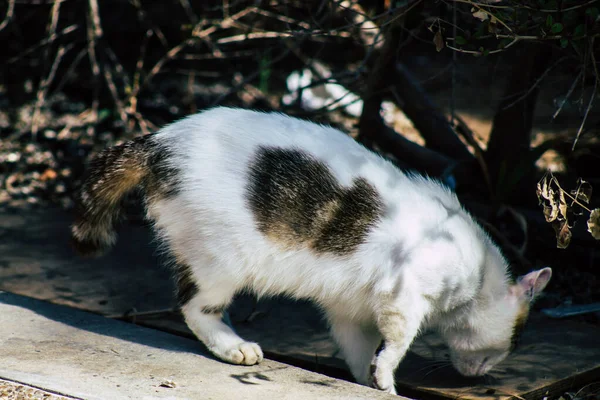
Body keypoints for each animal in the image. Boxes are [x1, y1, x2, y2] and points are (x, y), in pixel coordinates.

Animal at [72, 106, 552, 394]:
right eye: (514, 339)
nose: (484, 372)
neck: (477, 277)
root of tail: (158, 142)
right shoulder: (404, 295)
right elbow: (397, 344)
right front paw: (387, 381)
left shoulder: (350, 311)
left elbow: (360, 351)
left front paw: (368, 382)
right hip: (221, 261)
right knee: (194, 308)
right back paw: (235, 347)